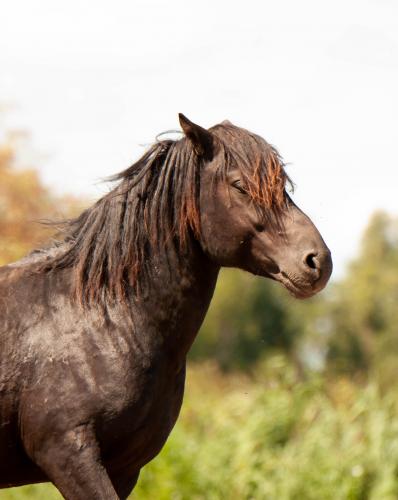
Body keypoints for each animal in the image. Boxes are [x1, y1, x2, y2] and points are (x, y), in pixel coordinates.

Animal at [0, 115, 332, 498]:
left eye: (284, 184)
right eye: (239, 185)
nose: (318, 261)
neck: (104, 320)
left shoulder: (124, 470)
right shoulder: (67, 454)